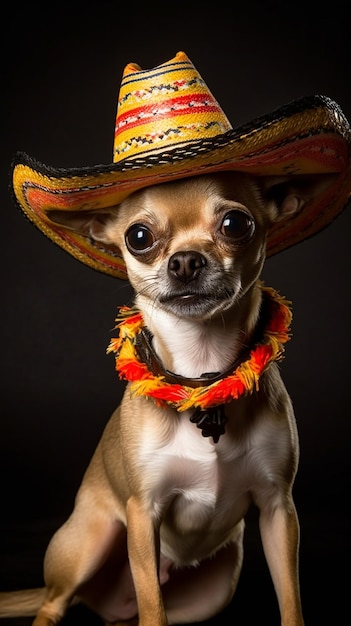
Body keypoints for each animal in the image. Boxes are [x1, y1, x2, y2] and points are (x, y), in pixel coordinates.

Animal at [1, 168, 332, 620]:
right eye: (138, 237)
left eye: (235, 224)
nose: (186, 260)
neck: (201, 375)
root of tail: (102, 603)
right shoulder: (144, 513)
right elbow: (152, 610)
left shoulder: (278, 509)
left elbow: (290, 602)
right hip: (88, 542)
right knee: (60, 603)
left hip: (214, 591)